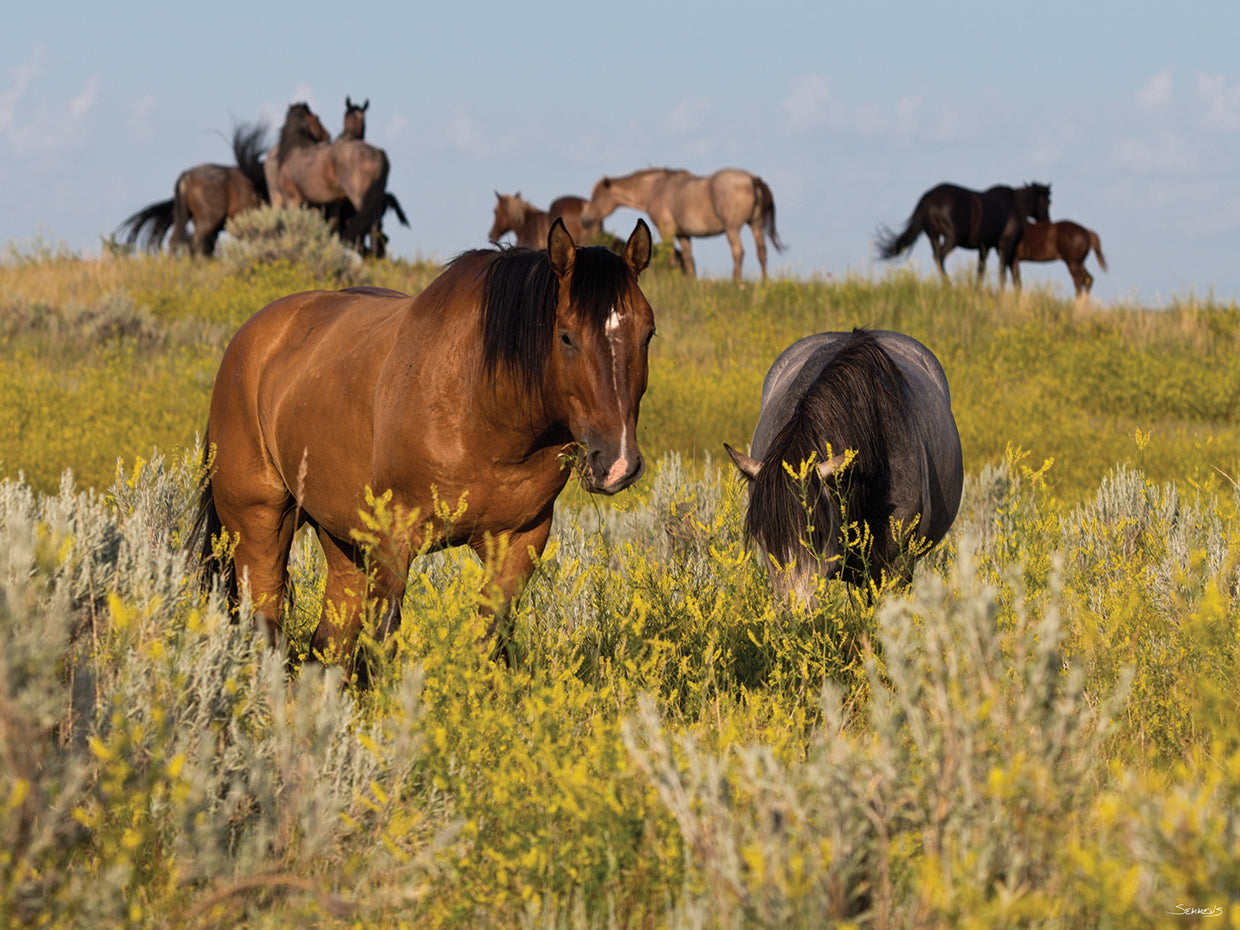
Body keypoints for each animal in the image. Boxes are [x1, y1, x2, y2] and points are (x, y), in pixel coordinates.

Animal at [191, 218, 655, 682]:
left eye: (647, 334)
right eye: (566, 337)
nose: (617, 463)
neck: (481, 407)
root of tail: (249, 341)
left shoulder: (519, 541)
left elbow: (488, 641)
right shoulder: (393, 542)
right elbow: (382, 648)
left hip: (342, 541)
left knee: (327, 648)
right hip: (259, 526)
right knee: (265, 630)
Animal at [270, 101, 391, 249]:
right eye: (317, 119)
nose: (327, 136)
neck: (293, 150)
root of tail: (378, 153)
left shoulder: (293, 200)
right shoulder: (318, 205)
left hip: (360, 197)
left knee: (372, 223)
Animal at [580, 167, 784, 282]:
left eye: (596, 197)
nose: (583, 219)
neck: (656, 188)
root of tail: (753, 179)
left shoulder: (667, 230)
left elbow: (671, 257)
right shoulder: (683, 234)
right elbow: (687, 258)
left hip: (732, 228)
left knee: (738, 252)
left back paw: (736, 282)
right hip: (756, 224)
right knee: (762, 252)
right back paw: (764, 282)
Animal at [875, 182, 1052, 288]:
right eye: (1047, 202)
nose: (1047, 221)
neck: (1015, 205)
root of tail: (929, 197)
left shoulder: (985, 247)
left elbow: (980, 270)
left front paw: (977, 290)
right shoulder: (1004, 245)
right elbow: (1002, 271)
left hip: (933, 236)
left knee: (937, 256)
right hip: (951, 238)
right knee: (940, 256)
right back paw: (949, 285)